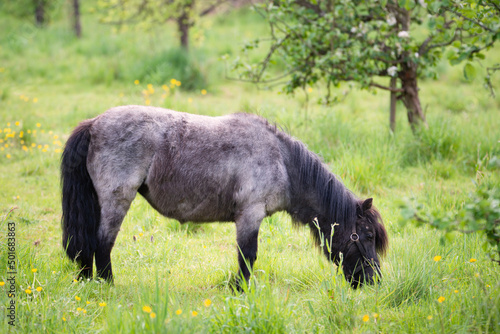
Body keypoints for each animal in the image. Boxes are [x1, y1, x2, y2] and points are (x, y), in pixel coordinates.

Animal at [62, 105, 388, 288]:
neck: (282, 161)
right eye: (367, 236)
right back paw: (108, 286)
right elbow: (248, 255)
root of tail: (94, 124)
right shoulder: (250, 215)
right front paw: (240, 290)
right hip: (117, 201)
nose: (373, 282)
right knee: (102, 243)